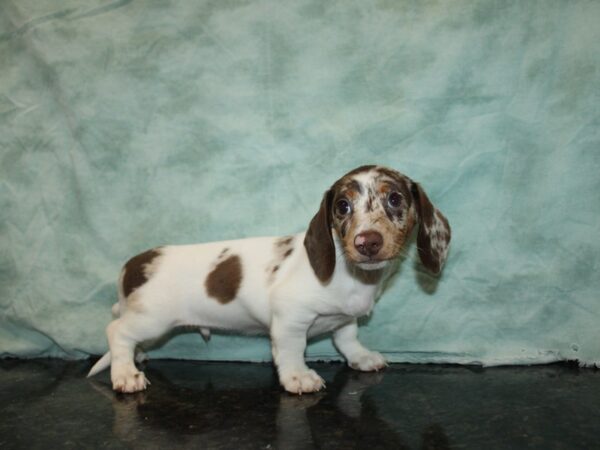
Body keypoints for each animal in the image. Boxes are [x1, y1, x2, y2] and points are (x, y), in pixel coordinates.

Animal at [85, 164, 450, 394]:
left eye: (395, 199)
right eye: (343, 206)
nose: (367, 242)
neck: (352, 275)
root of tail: (133, 264)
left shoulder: (345, 319)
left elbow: (347, 338)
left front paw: (361, 357)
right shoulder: (290, 320)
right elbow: (292, 350)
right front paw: (298, 377)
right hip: (154, 319)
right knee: (116, 332)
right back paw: (125, 374)